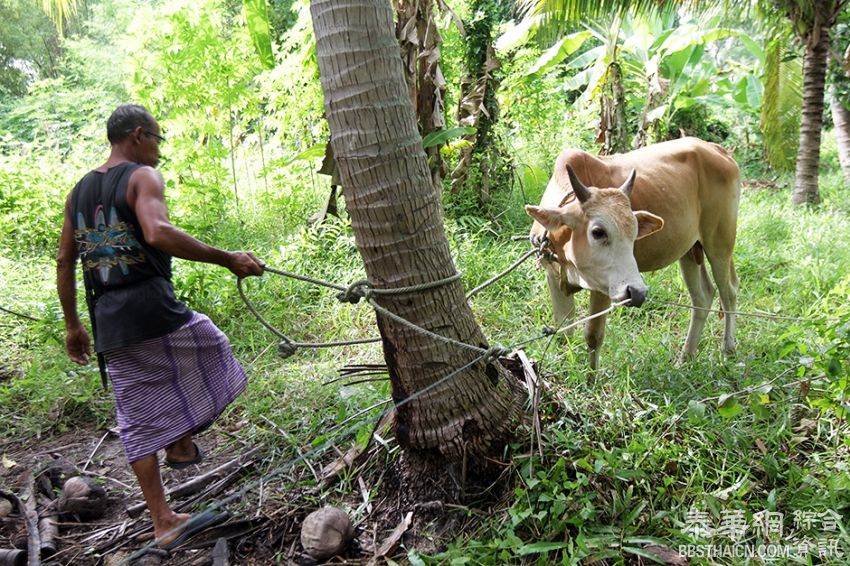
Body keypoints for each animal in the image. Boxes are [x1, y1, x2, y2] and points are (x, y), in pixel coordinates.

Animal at [528, 136, 740, 370]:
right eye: (598, 232)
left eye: (635, 233)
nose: (637, 293)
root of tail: (717, 150)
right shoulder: (553, 277)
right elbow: (563, 331)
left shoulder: (604, 288)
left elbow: (593, 335)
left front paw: (592, 376)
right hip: (689, 251)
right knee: (702, 297)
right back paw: (686, 357)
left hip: (719, 243)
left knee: (728, 292)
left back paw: (728, 349)